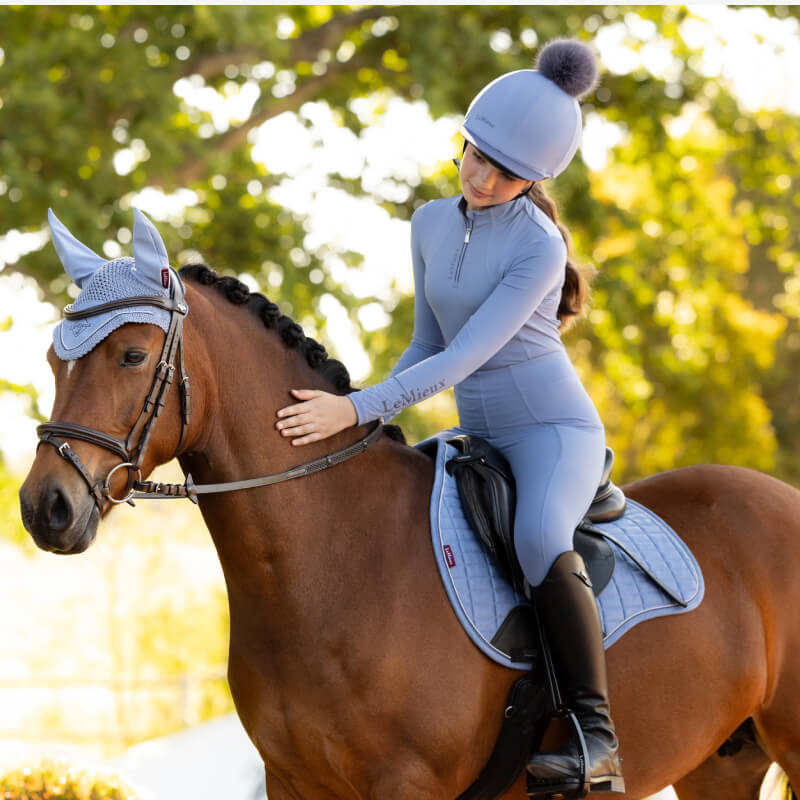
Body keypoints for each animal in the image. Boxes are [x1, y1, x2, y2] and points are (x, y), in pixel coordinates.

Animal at [20, 260, 800, 800]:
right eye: (56, 360)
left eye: (131, 356)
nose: (43, 507)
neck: (335, 561)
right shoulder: (291, 782)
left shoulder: (405, 783)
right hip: (721, 762)